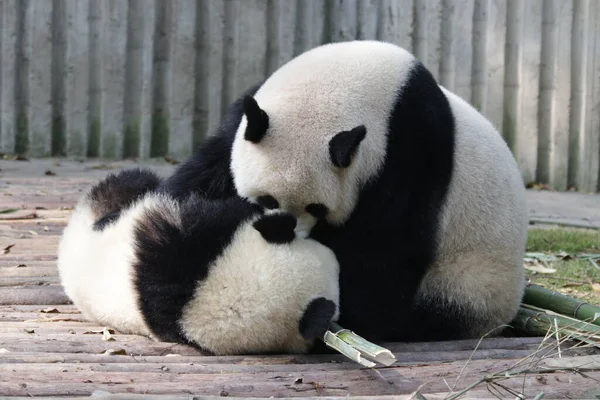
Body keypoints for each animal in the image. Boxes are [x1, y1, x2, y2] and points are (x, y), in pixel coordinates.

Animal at [161, 39, 528, 340]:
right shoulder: (247, 114)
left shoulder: (410, 156)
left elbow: (383, 254)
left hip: (467, 283)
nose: (289, 233)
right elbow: (208, 169)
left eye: (317, 208)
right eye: (266, 198)